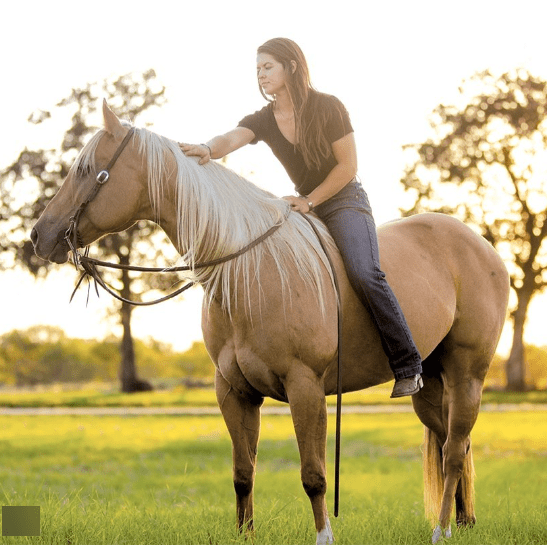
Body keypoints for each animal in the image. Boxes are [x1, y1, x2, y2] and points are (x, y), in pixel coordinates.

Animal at [31, 100, 510, 540]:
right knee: (454, 446)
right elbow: (243, 473)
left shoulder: (305, 387)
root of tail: (483, 246)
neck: (249, 271)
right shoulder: (234, 391)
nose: (39, 235)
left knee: (453, 452)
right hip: (430, 384)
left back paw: (442, 530)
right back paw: (464, 522)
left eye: (86, 169)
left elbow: (313, 475)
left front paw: (323, 535)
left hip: (467, 373)